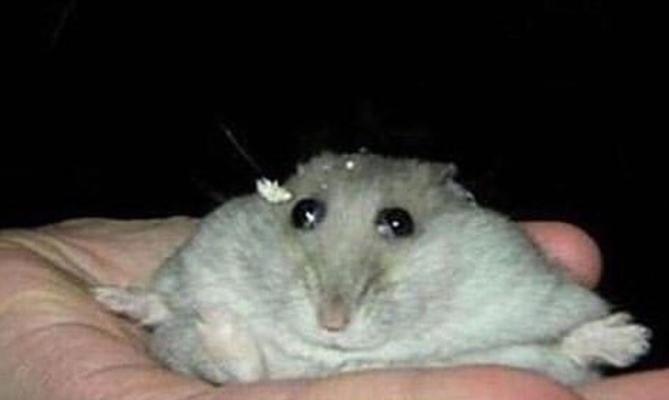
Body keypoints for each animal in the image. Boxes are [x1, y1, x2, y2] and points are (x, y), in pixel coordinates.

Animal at [94, 152, 651, 385]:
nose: (332, 324)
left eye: (399, 222)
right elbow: (172, 304)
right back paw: (207, 319)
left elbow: (569, 345)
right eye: (303, 212)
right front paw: (116, 297)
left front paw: (634, 338)